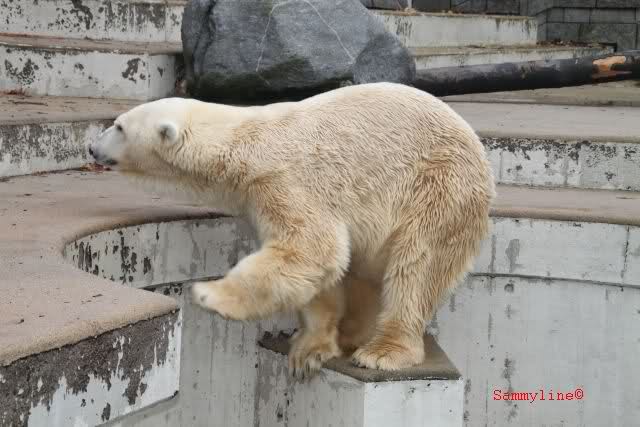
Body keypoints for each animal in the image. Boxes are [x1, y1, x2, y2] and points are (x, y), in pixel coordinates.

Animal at [89, 82, 495, 378]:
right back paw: (354, 332)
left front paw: (209, 295)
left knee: (417, 266)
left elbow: (312, 250)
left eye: (119, 126)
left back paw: (383, 351)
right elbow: (321, 273)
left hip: (441, 187)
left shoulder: (288, 181)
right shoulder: (257, 197)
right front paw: (310, 350)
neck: (244, 141)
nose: (92, 148)